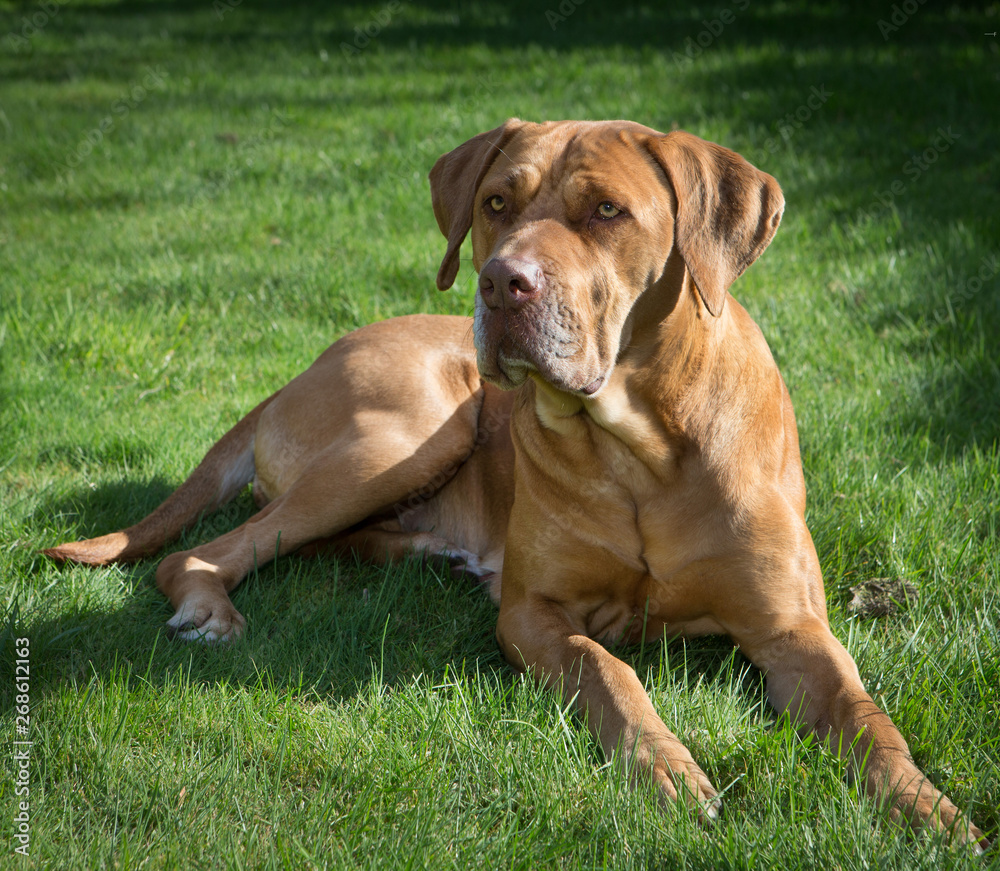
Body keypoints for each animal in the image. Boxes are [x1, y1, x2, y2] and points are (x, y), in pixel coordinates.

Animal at [47, 119, 984, 848]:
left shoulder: (793, 629)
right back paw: (211, 608)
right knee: (205, 552)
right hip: (415, 431)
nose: (503, 282)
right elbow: (611, 671)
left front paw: (932, 809)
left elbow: (869, 719)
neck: (641, 445)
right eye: (497, 202)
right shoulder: (534, 614)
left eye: (607, 211)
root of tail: (295, 373)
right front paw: (666, 769)